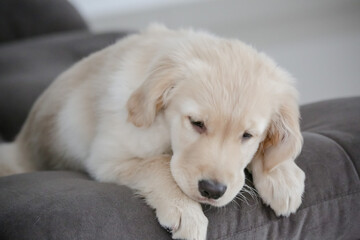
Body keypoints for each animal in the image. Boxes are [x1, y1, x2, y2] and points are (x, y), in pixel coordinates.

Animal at [0, 24, 304, 240]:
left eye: (247, 136)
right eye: (197, 123)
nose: (212, 190)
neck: (165, 128)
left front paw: (283, 177)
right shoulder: (108, 157)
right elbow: (157, 164)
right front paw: (185, 211)